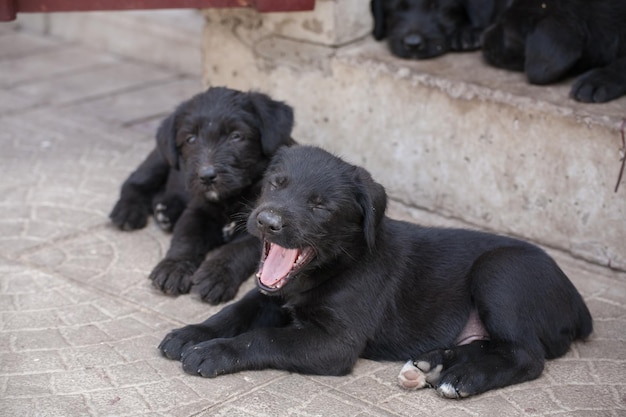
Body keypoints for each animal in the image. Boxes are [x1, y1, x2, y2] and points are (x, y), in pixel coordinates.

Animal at [109, 87, 294, 302]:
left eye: (236, 136)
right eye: (191, 139)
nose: (206, 176)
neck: (230, 199)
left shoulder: (264, 226)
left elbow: (237, 249)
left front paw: (216, 275)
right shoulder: (197, 212)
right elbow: (186, 240)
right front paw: (174, 268)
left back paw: (166, 212)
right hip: (159, 159)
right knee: (136, 182)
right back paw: (128, 211)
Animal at [157, 145, 588, 398]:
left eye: (319, 205)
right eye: (276, 184)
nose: (266, 221)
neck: (334, 265)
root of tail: (579, 304)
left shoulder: (335, 343)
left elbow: (262, 338)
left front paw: (212, 352)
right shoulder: (270, 295)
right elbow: (235, 311)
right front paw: (191, 333)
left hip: (500, 271)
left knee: (525, 355)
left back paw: (462, 378)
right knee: (492, 344)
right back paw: (432, 363)